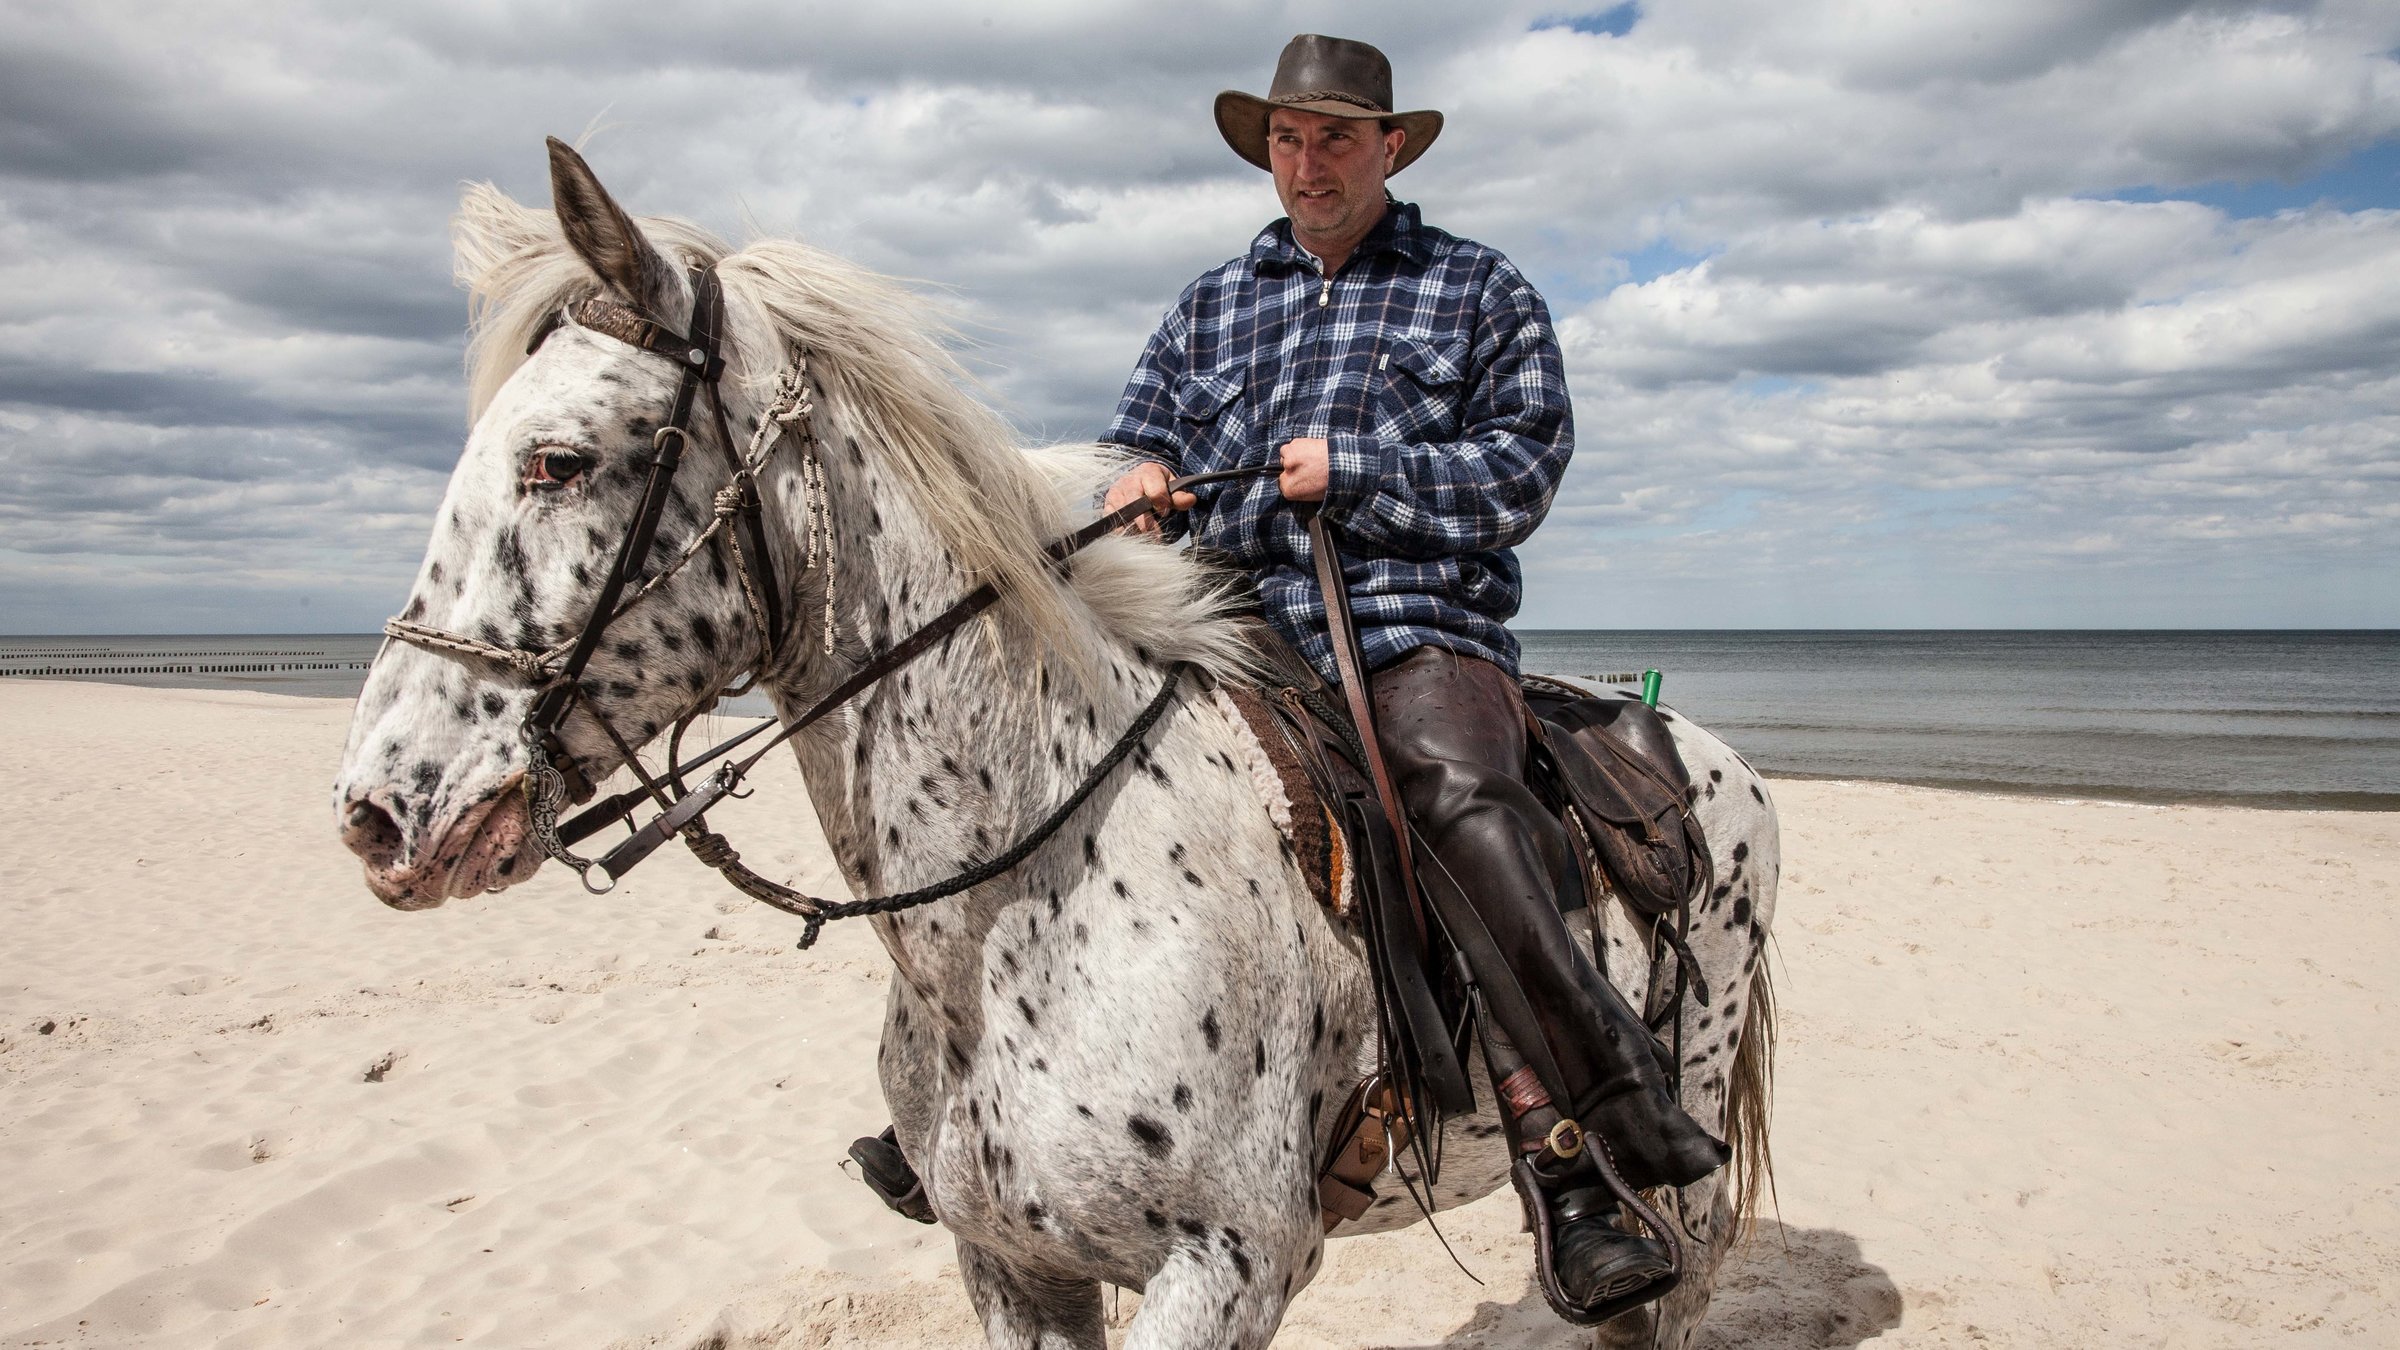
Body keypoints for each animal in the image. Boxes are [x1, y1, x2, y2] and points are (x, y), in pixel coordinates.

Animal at [328, 141, 1776, 1335]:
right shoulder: (1016, 1268)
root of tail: (1702, 756)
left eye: (558, 461)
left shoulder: (1226, 1273)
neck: (1019, 902)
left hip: (1683, 1124)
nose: (377, 813)